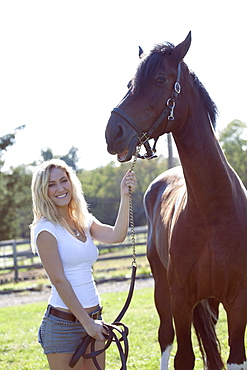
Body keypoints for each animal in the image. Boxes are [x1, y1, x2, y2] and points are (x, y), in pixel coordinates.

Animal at [105, 32, 247, 370]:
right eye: (130, 83)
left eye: (159, 79)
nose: (113, 132)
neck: (213, 211)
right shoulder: (181, 298)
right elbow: (183, 356)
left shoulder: (239, 302)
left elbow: (235, 357)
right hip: (162, 289)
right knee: (165, 339)